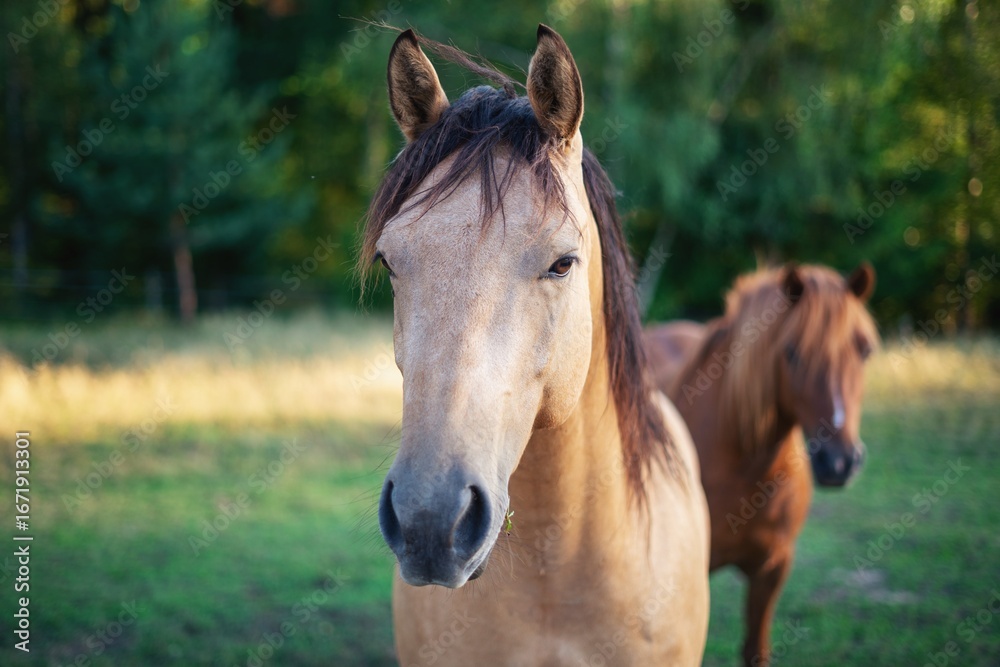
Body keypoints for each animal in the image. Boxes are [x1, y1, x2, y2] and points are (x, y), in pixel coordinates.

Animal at [644, 263, 878, 667]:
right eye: (792, 352)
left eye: (864, 350)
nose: (840, 462)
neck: (745, 466)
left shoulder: (772, 568)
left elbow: (756, 650)